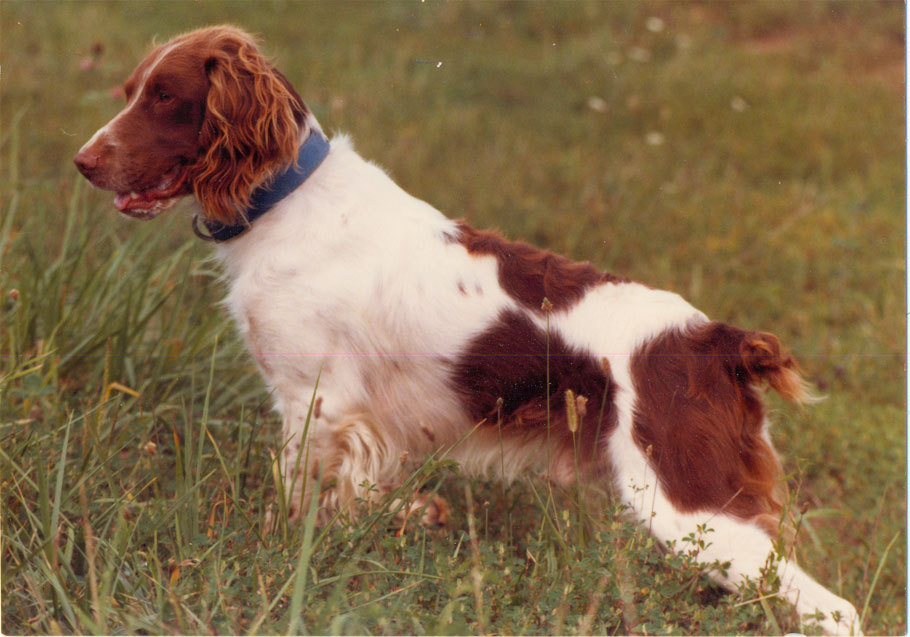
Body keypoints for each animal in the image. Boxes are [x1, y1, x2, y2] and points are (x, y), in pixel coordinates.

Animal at [73, 26, 864, 636]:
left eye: (166, 97)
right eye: (130, 90)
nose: (83, 161)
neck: (286, 204)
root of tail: (718, 341)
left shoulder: (314, 403)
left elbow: (296, 506)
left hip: (688, 505)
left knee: (836, 609)